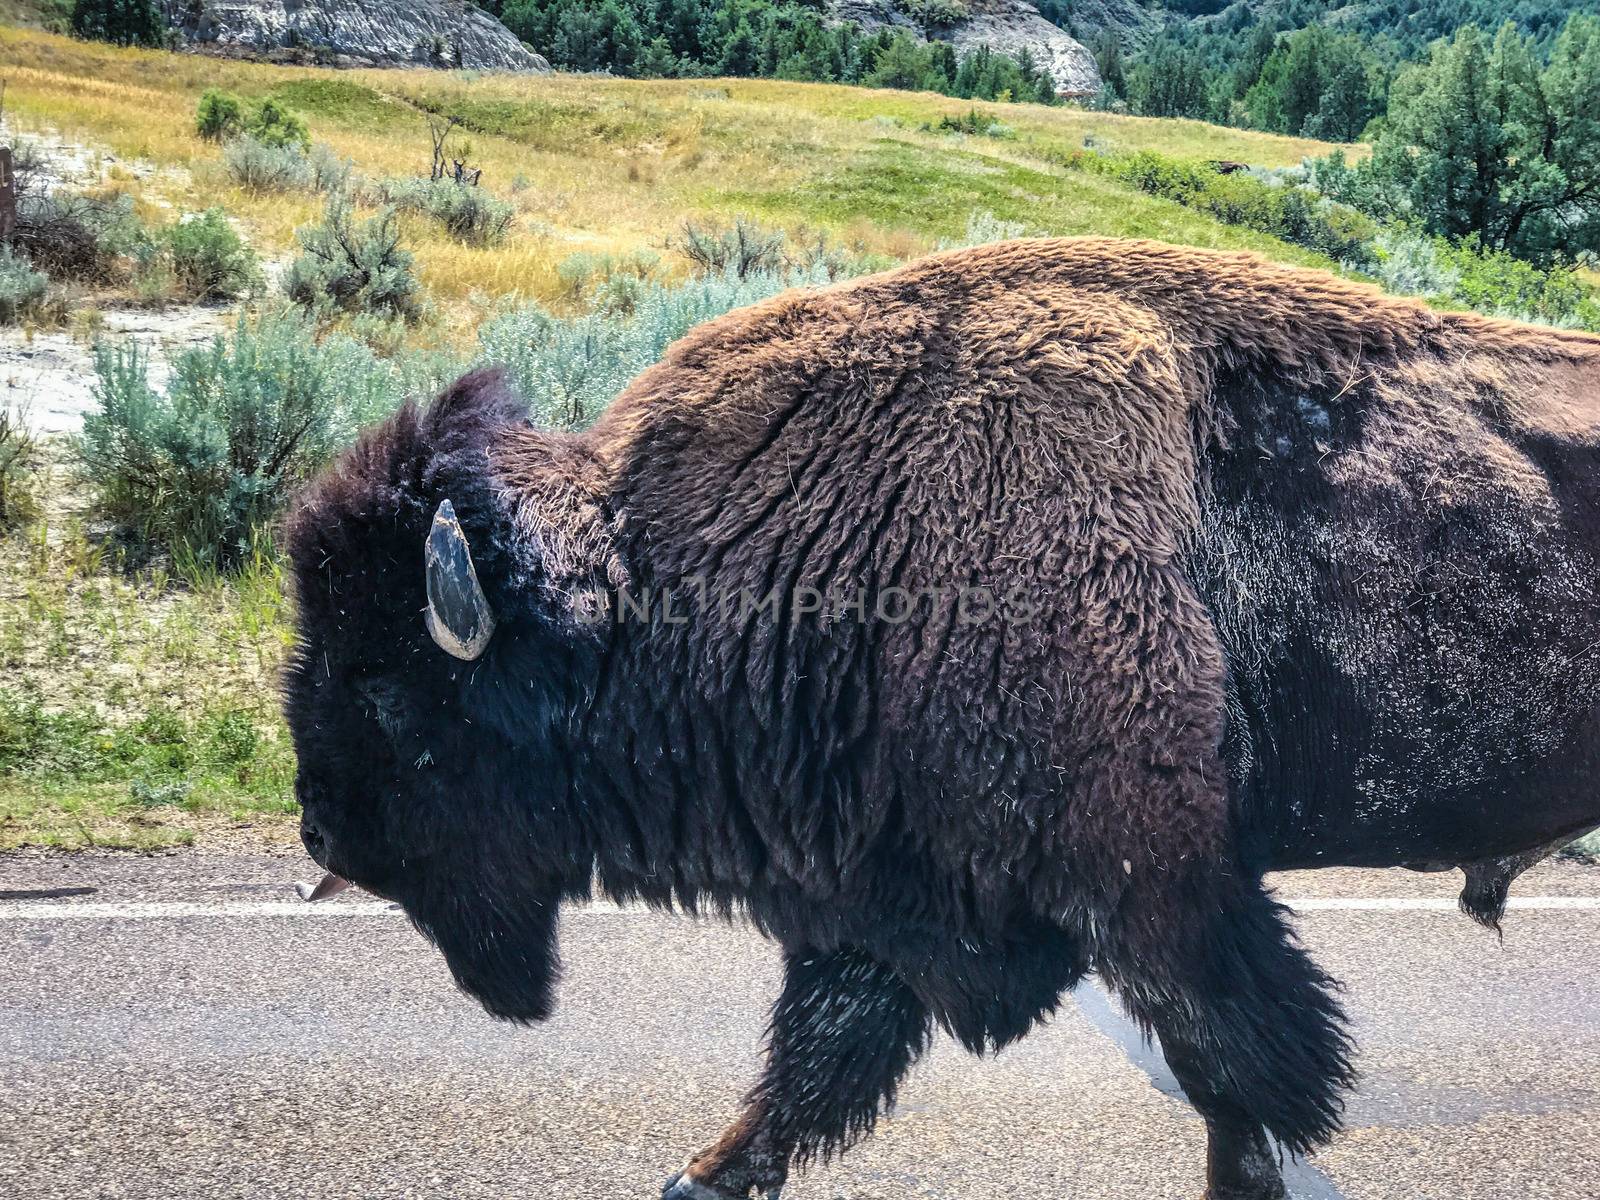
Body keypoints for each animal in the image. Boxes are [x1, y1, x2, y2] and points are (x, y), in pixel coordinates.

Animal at [281, 240, 1600, 1196]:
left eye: (392, 692)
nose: (320, 832)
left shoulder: (1164, 894)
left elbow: (1246, 1087)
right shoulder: (882, 904)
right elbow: (810, 1071)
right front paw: (700, 1177)